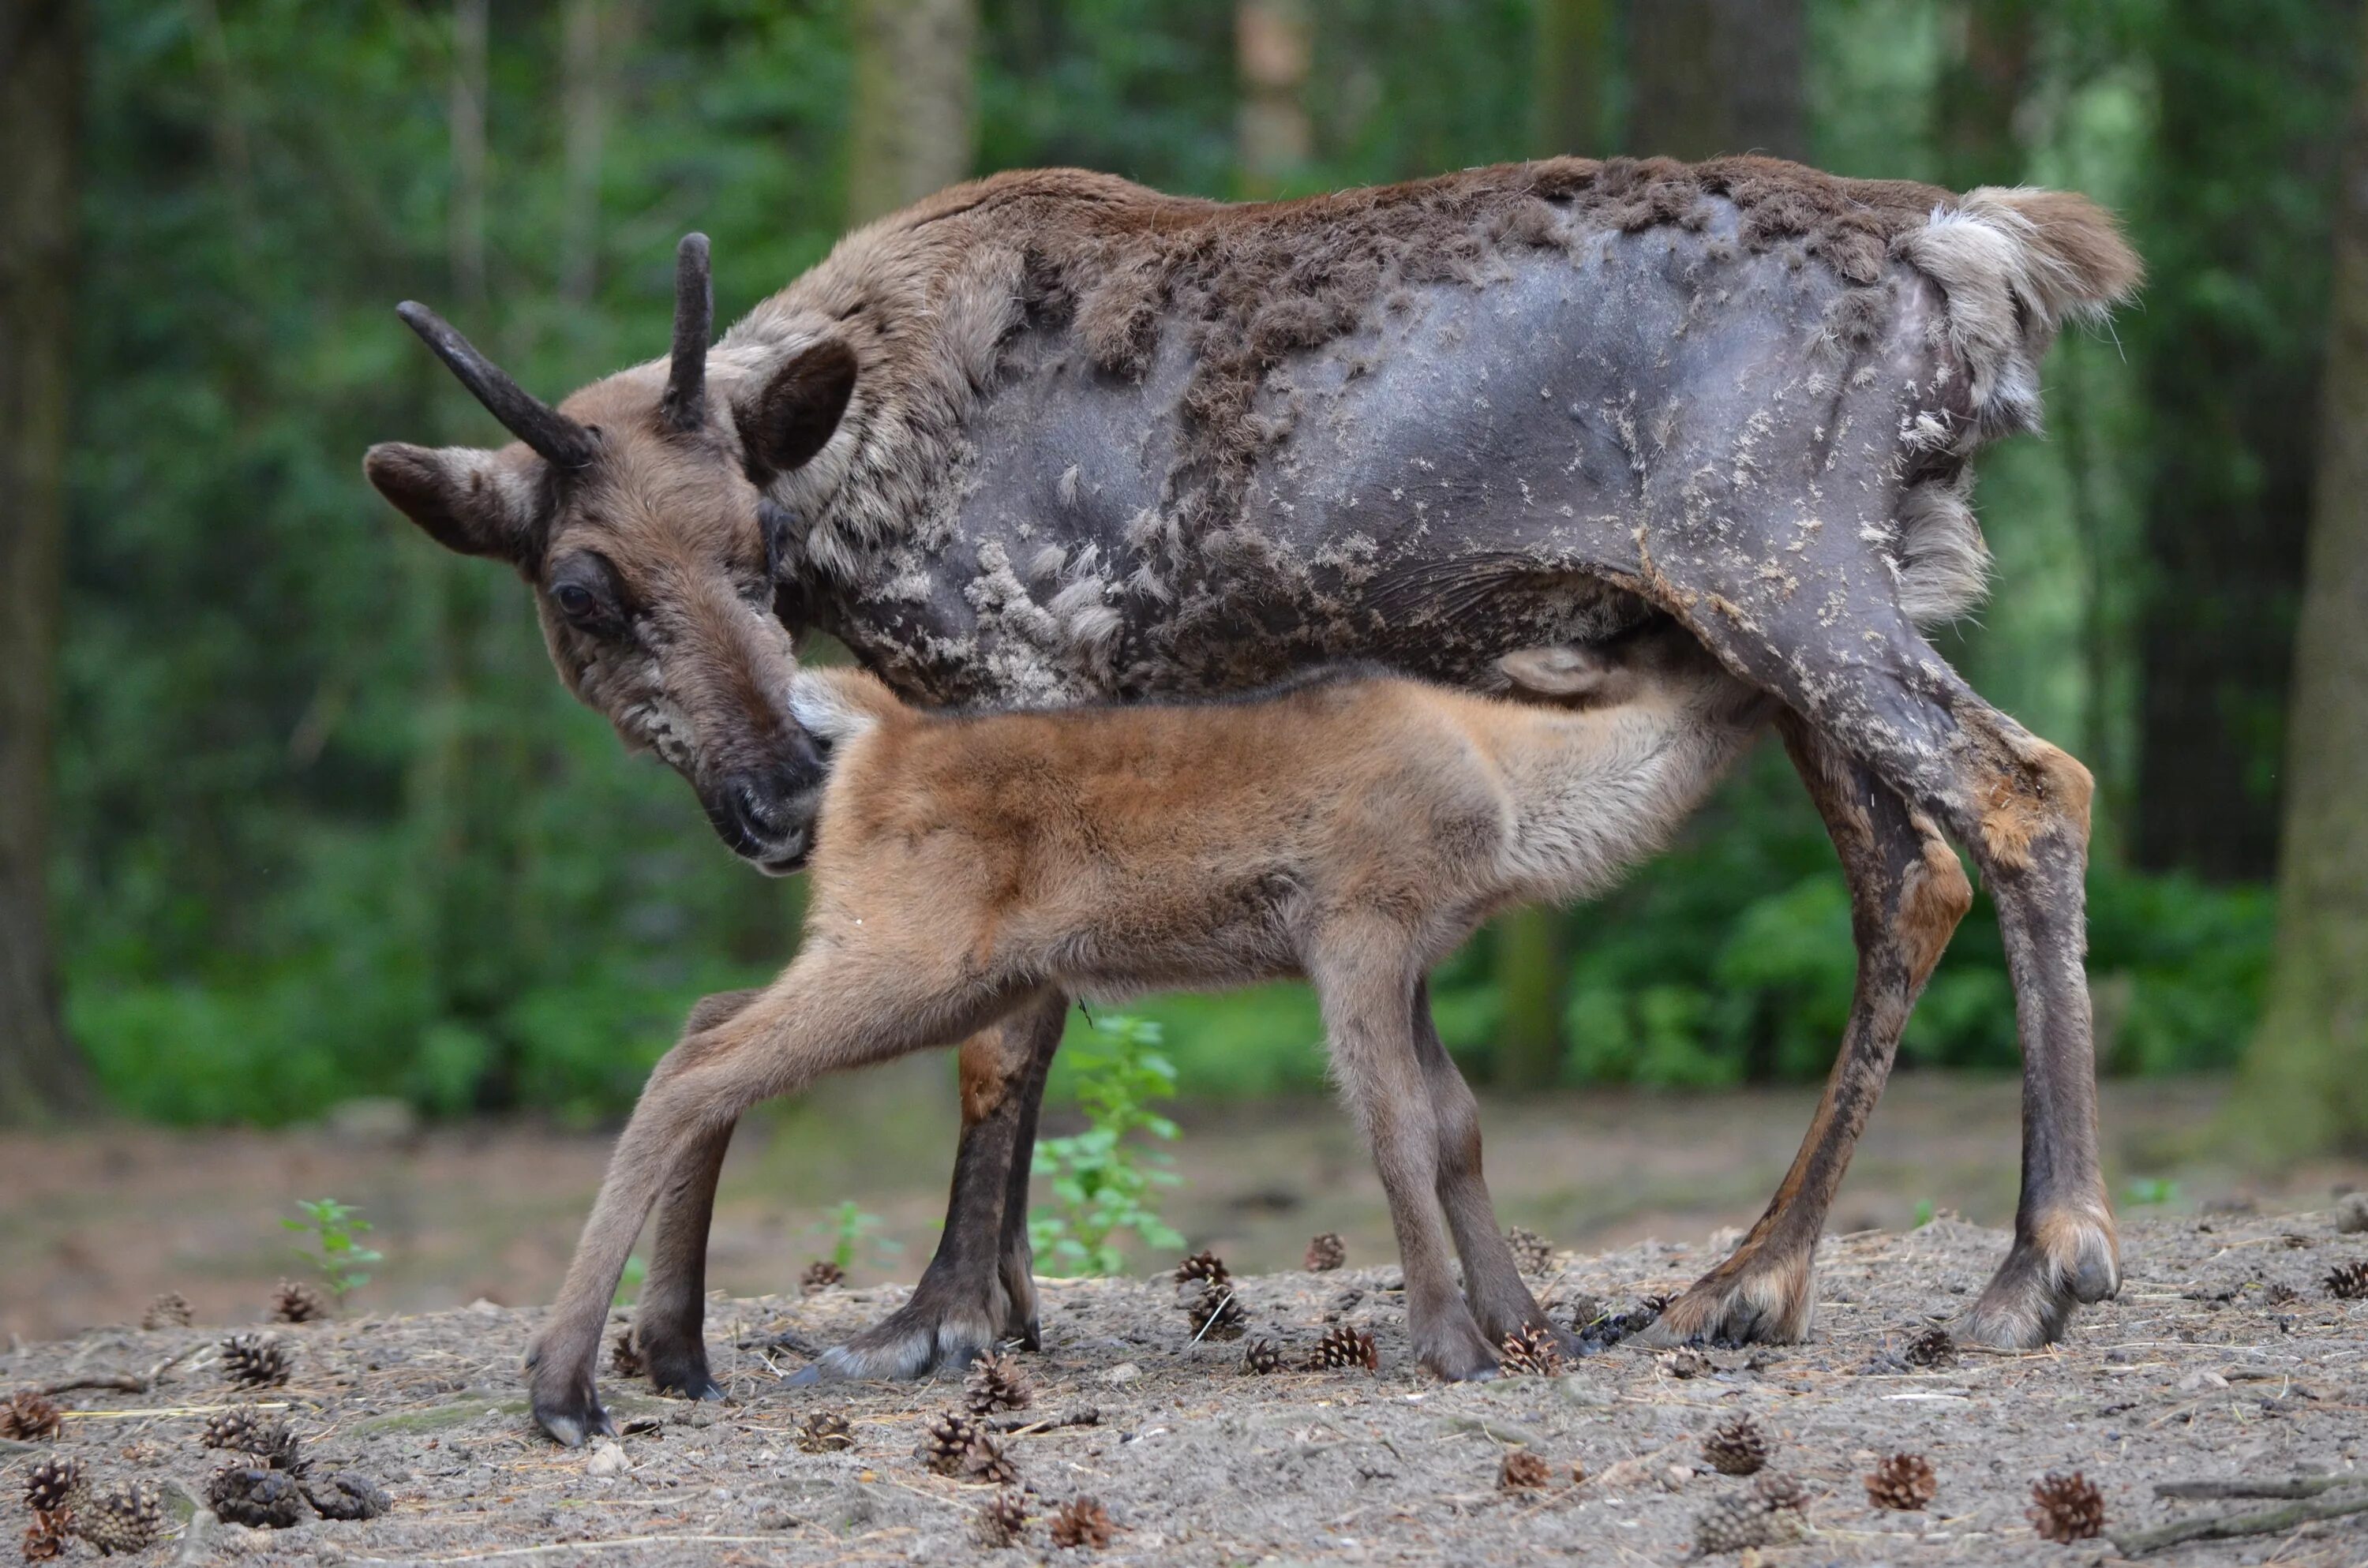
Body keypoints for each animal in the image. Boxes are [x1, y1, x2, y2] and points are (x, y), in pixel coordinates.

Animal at [528, 630, 1771, 1449]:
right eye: (1680, 643)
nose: (1777, 666)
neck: (1514, 799)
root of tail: (875, 731)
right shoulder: (1359, 927)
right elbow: (1398, 1130)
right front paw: (1453, 1344)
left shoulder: (1413, 956)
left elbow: (1459, 1126)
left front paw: (1533, 1331)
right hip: (913, 960)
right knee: (694, 1065)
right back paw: (566, 1393)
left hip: (925, 961)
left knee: (706, 1020)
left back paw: (678, 1358)